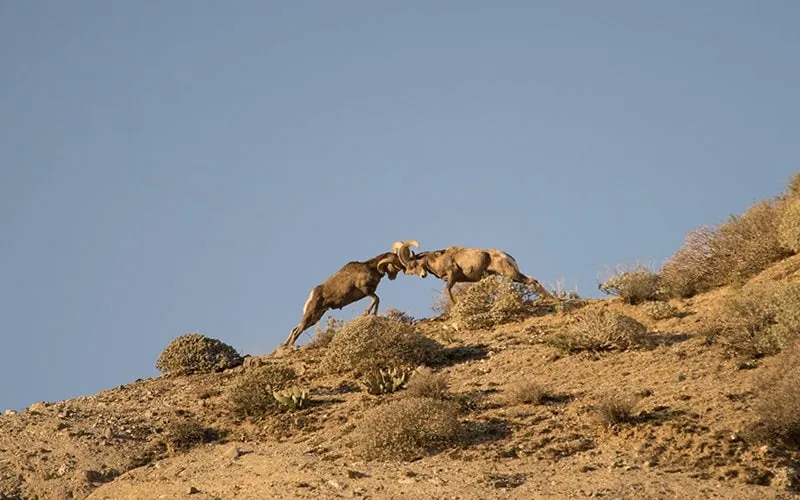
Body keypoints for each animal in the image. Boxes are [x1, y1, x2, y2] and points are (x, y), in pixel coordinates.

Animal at [392, 240, 557, 305]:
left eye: (414, 264)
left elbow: (448, 291)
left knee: (531, 281)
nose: (422, 275)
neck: (438, 259)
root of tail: (506, 256)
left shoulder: (452, 276)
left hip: (512, 274)